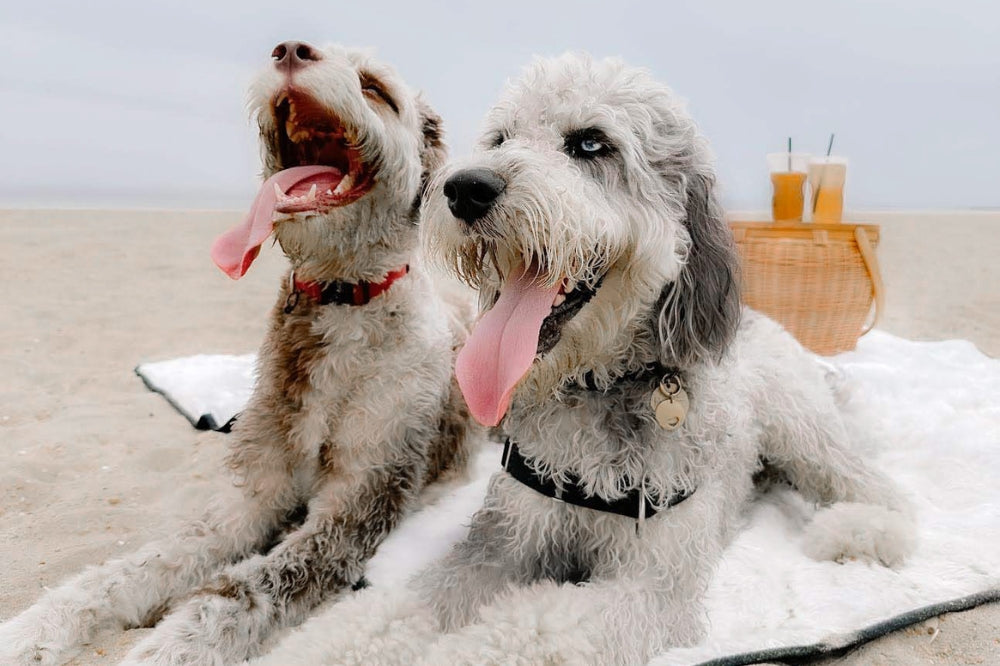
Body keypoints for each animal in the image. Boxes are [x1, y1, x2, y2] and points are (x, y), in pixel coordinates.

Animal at [0, 42, 476, 664]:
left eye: (375, 88)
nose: (291, 49)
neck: (342, 297)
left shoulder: (360, 496)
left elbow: (246, 587)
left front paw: (165, 647)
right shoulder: (254, 493)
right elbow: (141, 565)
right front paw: (36, 627)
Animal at [256, 53, 916, 664]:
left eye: (591, 143)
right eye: (501, 139)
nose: (465, 188)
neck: (594, 387)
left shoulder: (649, 582)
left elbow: (525, 629)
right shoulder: (502, 543)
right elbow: (394, 610)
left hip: (802, 430)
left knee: (879, 488)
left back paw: (863, 531)